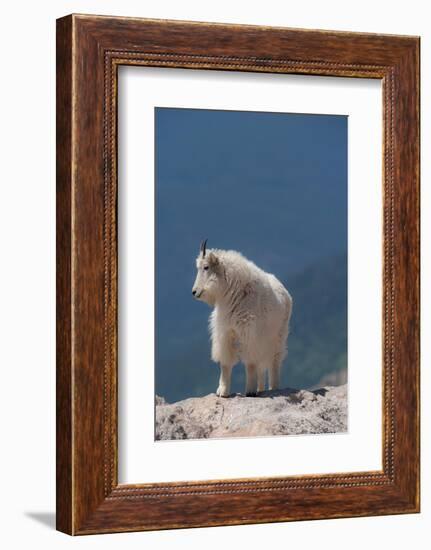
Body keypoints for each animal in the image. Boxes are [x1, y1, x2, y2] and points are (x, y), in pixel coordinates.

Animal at [192, 240, 294, 396]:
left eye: (206, 267)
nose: (194, 292)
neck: (232, 291)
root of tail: (286, 293)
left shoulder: (249, 333)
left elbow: (250, 362)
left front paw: (250, 391)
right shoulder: (226, 332)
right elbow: (225, 363)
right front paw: (222, 391)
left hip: (278, 335)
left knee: (274, 360)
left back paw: (273, 387)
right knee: (262, 365)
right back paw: (261, 389)